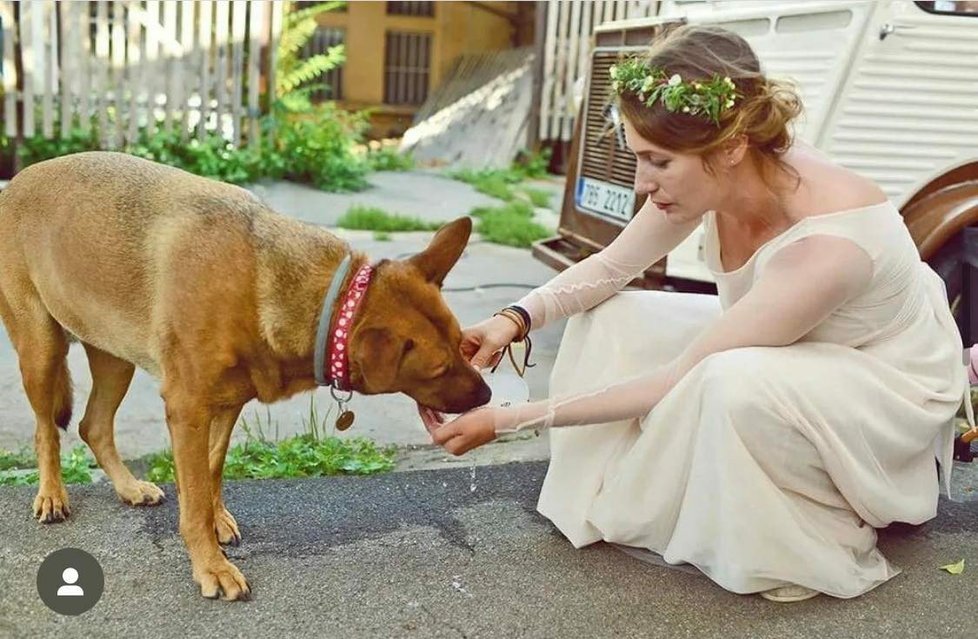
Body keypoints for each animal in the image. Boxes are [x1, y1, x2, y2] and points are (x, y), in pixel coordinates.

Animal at [0, 152, 488, 604]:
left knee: (93, 426)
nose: (486, 395)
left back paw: (128, 487)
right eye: (440, 368)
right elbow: (195, 494)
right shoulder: (187, 410)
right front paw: (211, 564)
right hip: (42, 352)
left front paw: (215, 520)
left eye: (462, 344)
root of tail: (15, 183)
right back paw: (51, 494)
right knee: (47, 430)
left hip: (115, 358)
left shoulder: (226, 405)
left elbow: (211, 472)